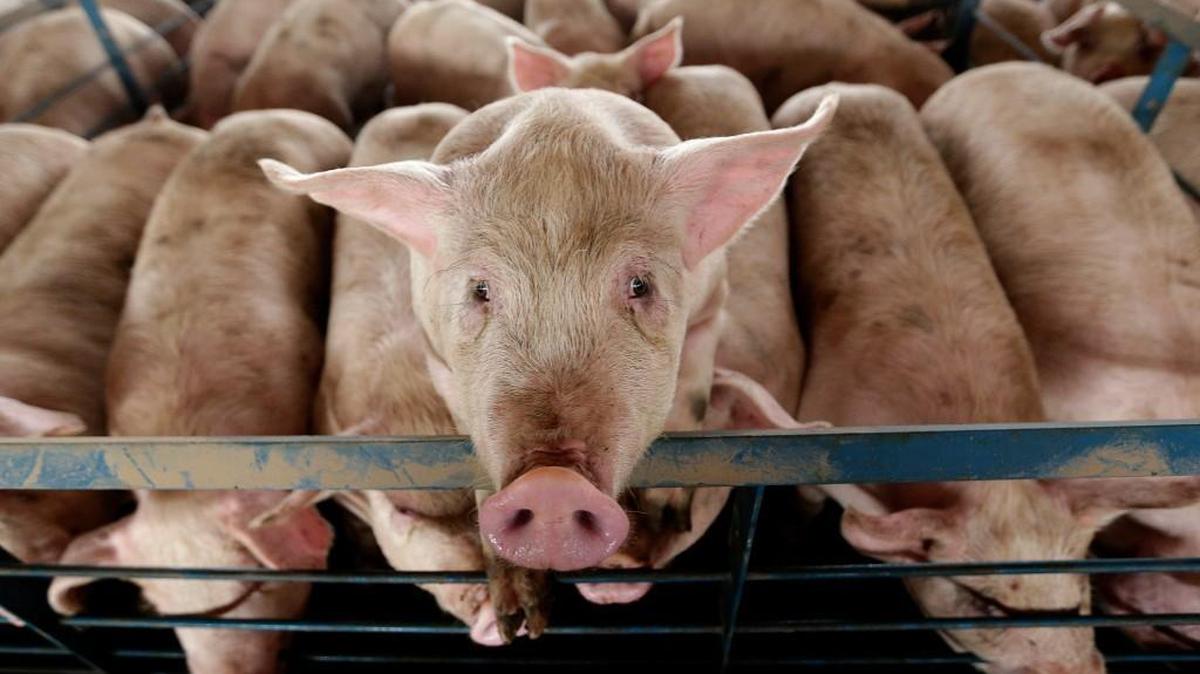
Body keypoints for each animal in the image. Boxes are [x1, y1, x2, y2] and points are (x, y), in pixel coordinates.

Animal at [260, 87, 839, 591]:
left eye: (640, 285)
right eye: (480, 290)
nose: (552, 485)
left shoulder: (713, 301)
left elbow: (693, 389)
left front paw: (668, 509)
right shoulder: (434, 355)